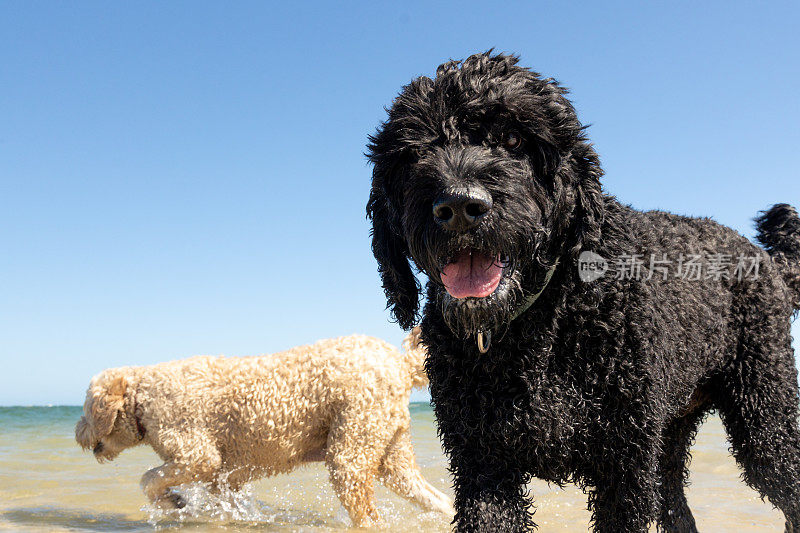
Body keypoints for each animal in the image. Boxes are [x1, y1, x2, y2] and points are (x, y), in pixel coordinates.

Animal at [75, 326, 454, 524]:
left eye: (86, 408)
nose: (77, 432)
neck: (143, 395)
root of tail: (398, 363)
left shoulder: (198, 456)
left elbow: (148, 479)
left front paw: (171, 502)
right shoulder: (222, 477)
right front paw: (178, 503)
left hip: (350, 454)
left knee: (369, 518)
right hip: (392, 458)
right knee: (438, 500)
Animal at [368, 51, 800, 532]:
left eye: (514, 139)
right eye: (415, 152)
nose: (460, 205)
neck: (536, 325)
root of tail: (767, 258)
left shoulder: (625, 469)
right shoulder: (482, 464)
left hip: (764, 414)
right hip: (671, 436)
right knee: (677, 504)